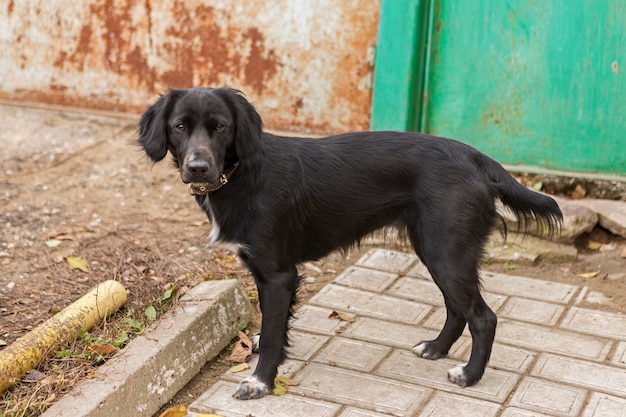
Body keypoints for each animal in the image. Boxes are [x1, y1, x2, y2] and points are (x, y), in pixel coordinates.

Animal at [138, 86, 560, 398]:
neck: (241, 174)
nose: (198, 168)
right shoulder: (264, 272)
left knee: (483, 317)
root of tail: (476, 156)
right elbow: (274, 326)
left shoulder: (278, 274)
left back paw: (469, 375)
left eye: (221, 127)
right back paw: (436, 349)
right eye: (180, 126)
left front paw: (259, 381)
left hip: (447, 252)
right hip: (434, 249)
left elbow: (273, 333)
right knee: (458, 309)